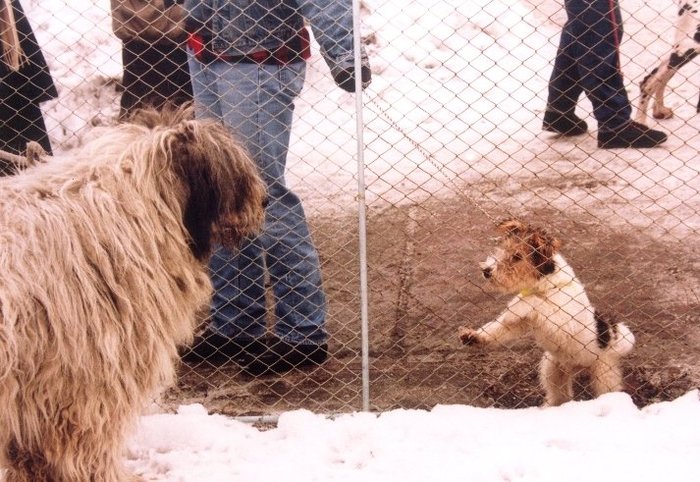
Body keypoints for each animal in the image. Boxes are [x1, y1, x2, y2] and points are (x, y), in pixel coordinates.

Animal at [460, 220, 636, 404]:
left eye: (517, 256)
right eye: (503, 247)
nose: (486, 271)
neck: (547, 285)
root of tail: (615, 333)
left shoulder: (561, 323)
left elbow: (535, 303)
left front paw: (515, 307)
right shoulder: (522, 323)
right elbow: (499, 327)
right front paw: (473, 336)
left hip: (604, 373)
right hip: (553, 369)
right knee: (560, 397)